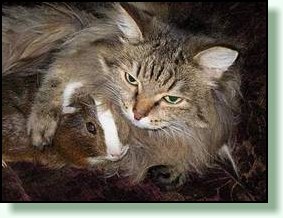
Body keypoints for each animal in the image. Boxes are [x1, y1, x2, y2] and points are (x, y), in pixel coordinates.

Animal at [2, 2, 242, 188]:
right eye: (131, 79)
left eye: (172, 99)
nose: (137, 114)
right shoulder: (77, 45)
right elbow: (55, 79)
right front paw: (42, 126)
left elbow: (199, 150)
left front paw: (177, 169)